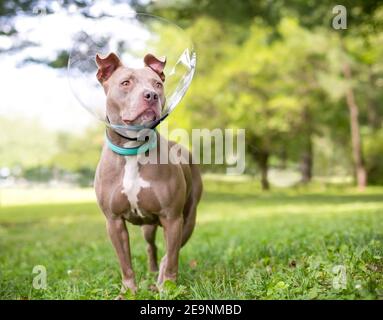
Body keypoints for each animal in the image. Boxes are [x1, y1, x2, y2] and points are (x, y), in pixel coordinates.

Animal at [94, 51, 202, 298]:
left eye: (157, 84)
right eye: (125, 83)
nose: (151, 95)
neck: (133, 150)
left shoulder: (172, 218)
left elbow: (172, 259)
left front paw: (167, 286)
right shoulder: (114, 222)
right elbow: (125, 263)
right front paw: (128, 291)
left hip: (188, 219)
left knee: (168, 252)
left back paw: (158, 277)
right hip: (147, 227)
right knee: (150, 246)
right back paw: (152, 272)